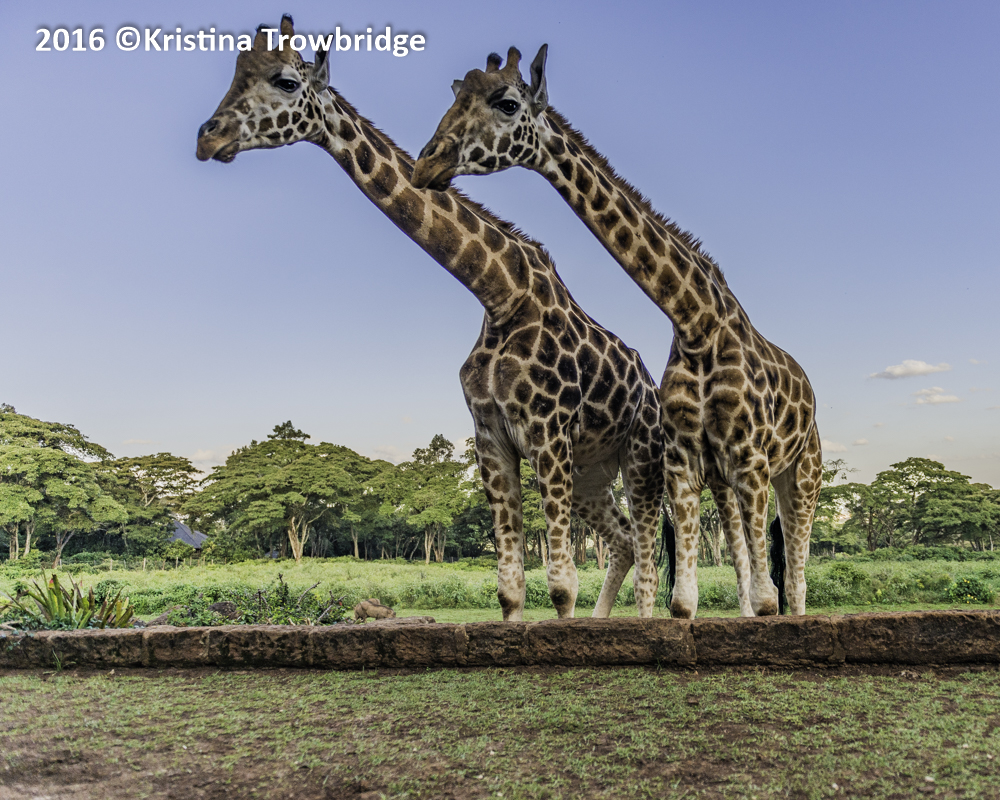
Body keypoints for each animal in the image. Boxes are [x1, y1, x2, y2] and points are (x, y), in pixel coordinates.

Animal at [195, 18, 667, 620]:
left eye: (283, 81)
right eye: (237, 72)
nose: (207, 137)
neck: (499, 294)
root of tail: (651, 388)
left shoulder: (547, 432)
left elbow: (562, 587)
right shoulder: (491, 438)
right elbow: (510, 589)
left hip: (639, 454)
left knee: (649, 558)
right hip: (591, 472)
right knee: (626, 543)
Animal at [412, 46, 823, 618]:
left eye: (507, 102)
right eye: (456, 97)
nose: (426, 161)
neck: (697, 321)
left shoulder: (748, 454)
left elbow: (766, 600)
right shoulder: (685, 459)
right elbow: (684, 603)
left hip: (801, 471)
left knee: (798, 580)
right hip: (727, 478)